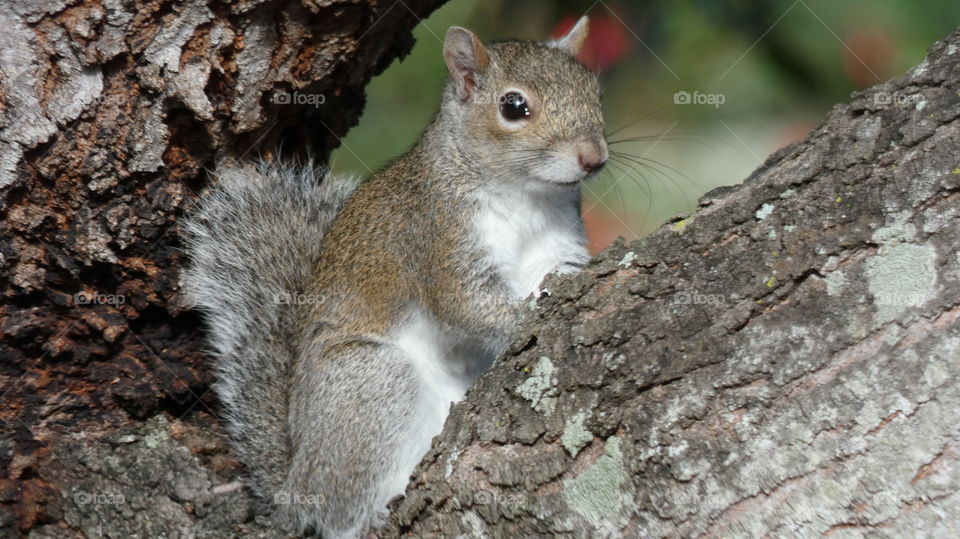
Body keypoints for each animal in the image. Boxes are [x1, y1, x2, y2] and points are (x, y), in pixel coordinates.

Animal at [182, 16, 606, 538]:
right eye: (514, 106)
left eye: (594, 90)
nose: (593, 157)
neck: (526, 196)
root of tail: (294, 483)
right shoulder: (437, 234)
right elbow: (465, 303)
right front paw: (531, 316)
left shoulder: (558, 242)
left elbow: (560, 271)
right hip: (372, 383)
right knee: (341, 512)